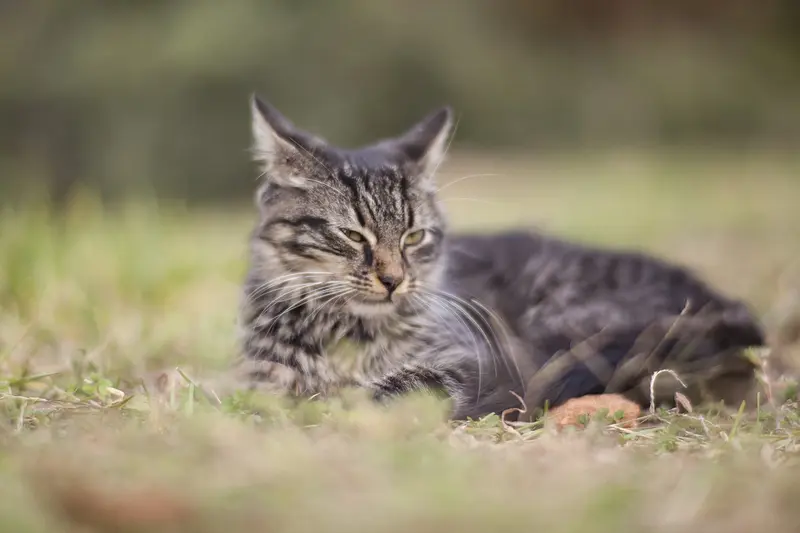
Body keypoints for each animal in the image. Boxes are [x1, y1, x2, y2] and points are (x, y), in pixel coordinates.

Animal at [234, 94, 764, 420]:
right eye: (352, 235)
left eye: (413, 237)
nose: (394, 279)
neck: (350, 334)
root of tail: (722, 302)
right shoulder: (262, 378)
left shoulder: (475, 359)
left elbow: (405, 384)